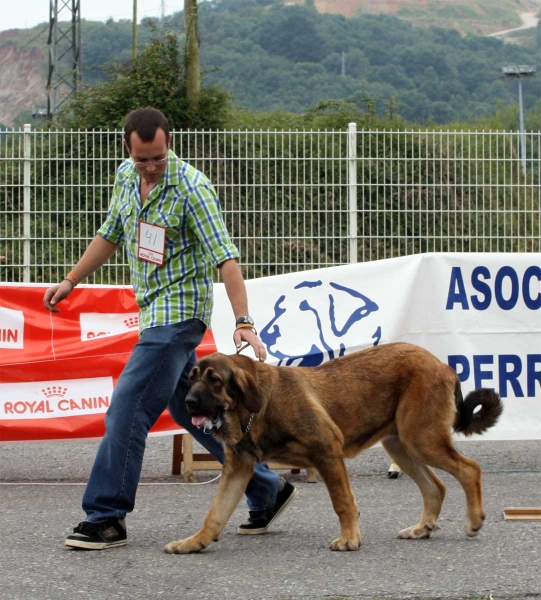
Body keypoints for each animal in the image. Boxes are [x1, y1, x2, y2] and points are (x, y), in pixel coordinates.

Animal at [165, 342, 502, 552]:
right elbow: (215, 513)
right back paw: (422, 528)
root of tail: (443, 365)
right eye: (192, 378)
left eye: (215, 380)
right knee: (435, 486)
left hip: (421, 439)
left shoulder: (327, 452)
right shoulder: (238, 468)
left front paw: (350, 539)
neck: (250, 412)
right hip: (401, 445)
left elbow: (342, 502)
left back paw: (473, 521)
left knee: (469, 469)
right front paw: (194, 542)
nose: (188, 401)